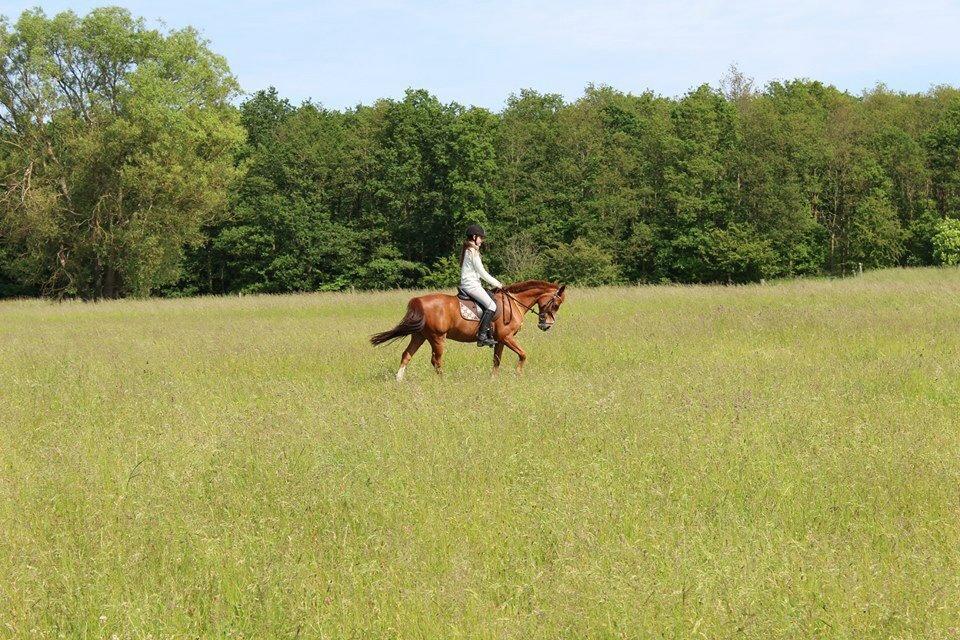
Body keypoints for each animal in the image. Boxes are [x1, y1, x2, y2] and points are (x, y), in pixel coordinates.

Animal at [370, 280, 568, 380]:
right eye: (556, 304)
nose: (546, 325)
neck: (514, 302)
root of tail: (418, 301)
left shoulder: (500, 340)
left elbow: (496, 361)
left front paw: (493, 380)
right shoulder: (507, 337)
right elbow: (523, 354)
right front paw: (518, 374)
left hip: (419, 336)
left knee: (406, 355)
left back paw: (399, 380)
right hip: (437, 338)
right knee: (436, 361)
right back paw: (443, 382)